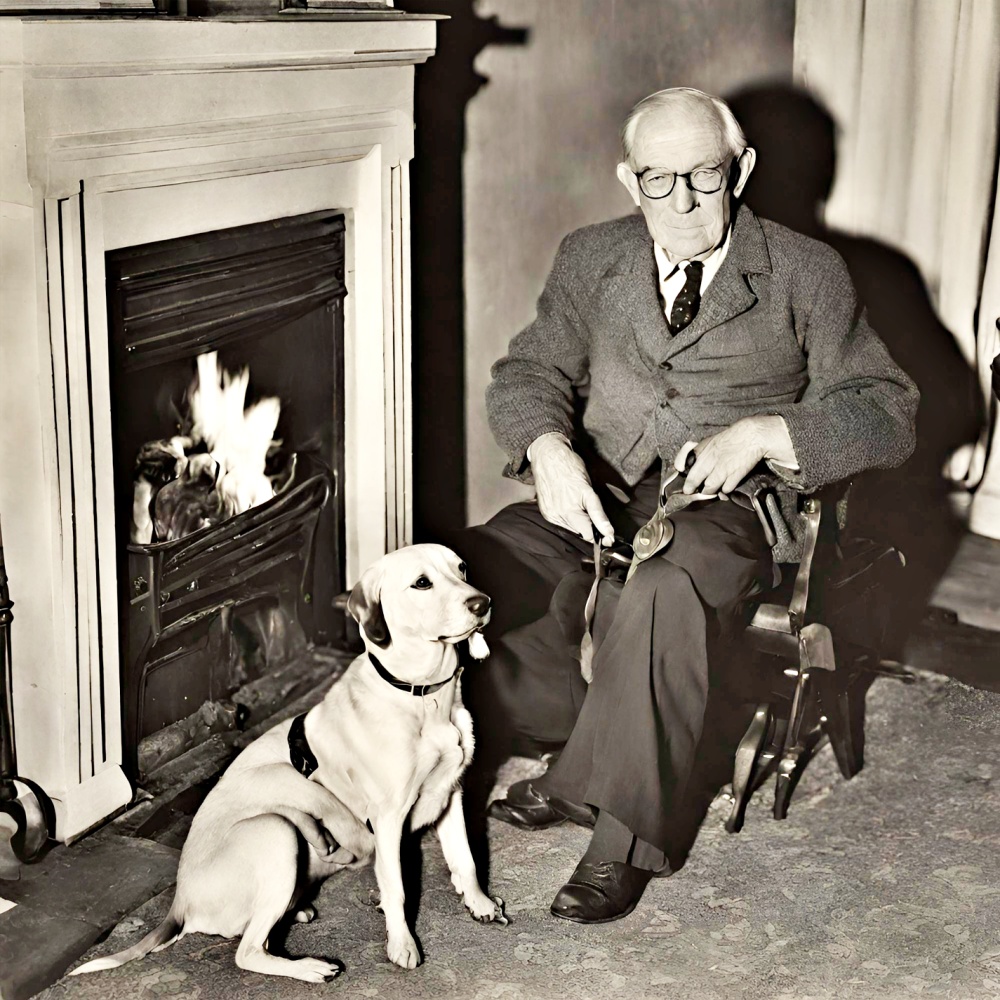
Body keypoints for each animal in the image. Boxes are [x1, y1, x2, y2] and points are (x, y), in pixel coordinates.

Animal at [71, 544, 504, 980]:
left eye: (461, 568)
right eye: (421, 583)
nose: (483, 603)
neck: (422, 696)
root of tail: (179, 902)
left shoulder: (450, 795)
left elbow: (465, 858)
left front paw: (479, 902)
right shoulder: (388, 819)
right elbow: (397, 888)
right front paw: (402, 944)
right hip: (275, 825)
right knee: (247, 951)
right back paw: (312, 965)